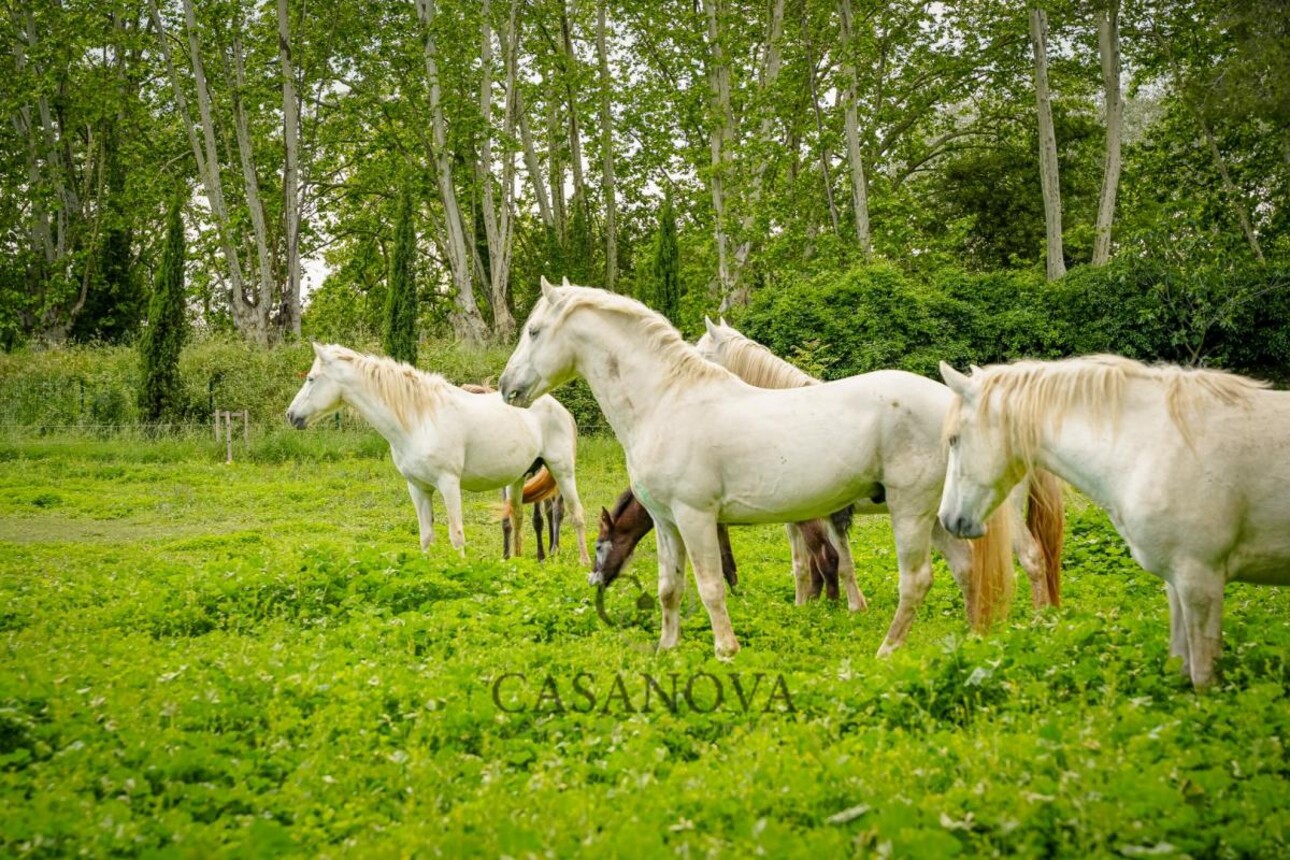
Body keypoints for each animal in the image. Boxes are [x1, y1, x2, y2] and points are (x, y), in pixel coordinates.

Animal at [286, 342, 590, 564]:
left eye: (311, 379)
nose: (291, 415)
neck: (419, 419)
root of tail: (561, 409)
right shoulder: (418, 488)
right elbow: (426, 536)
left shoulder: (448, 483)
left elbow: (456, 534)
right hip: (517, 478)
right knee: (516, 517)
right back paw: (515, 562)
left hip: (561, 470)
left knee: (574, 513)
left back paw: (585, 563)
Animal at [590, 487, 851, 603]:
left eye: (598, 546)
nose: (593, 580)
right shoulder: (719, 526)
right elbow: (729, 564)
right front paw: (738, 594)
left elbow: (725, 564)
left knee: (827, 557)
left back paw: (830, 607)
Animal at [696, 319, 1068, 616]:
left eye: (702, 352)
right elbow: (805, 562)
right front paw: (815, 604)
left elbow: (834, 560)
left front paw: (845, 606)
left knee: (1032, 557)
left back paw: (1038, 618)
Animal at [939, 353, 1290, 691]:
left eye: (954, 439)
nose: (946, 518)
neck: (1152, 446)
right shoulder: (1177, 582)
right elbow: (1182, 666)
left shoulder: (1200, 580)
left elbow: (1203, 678)